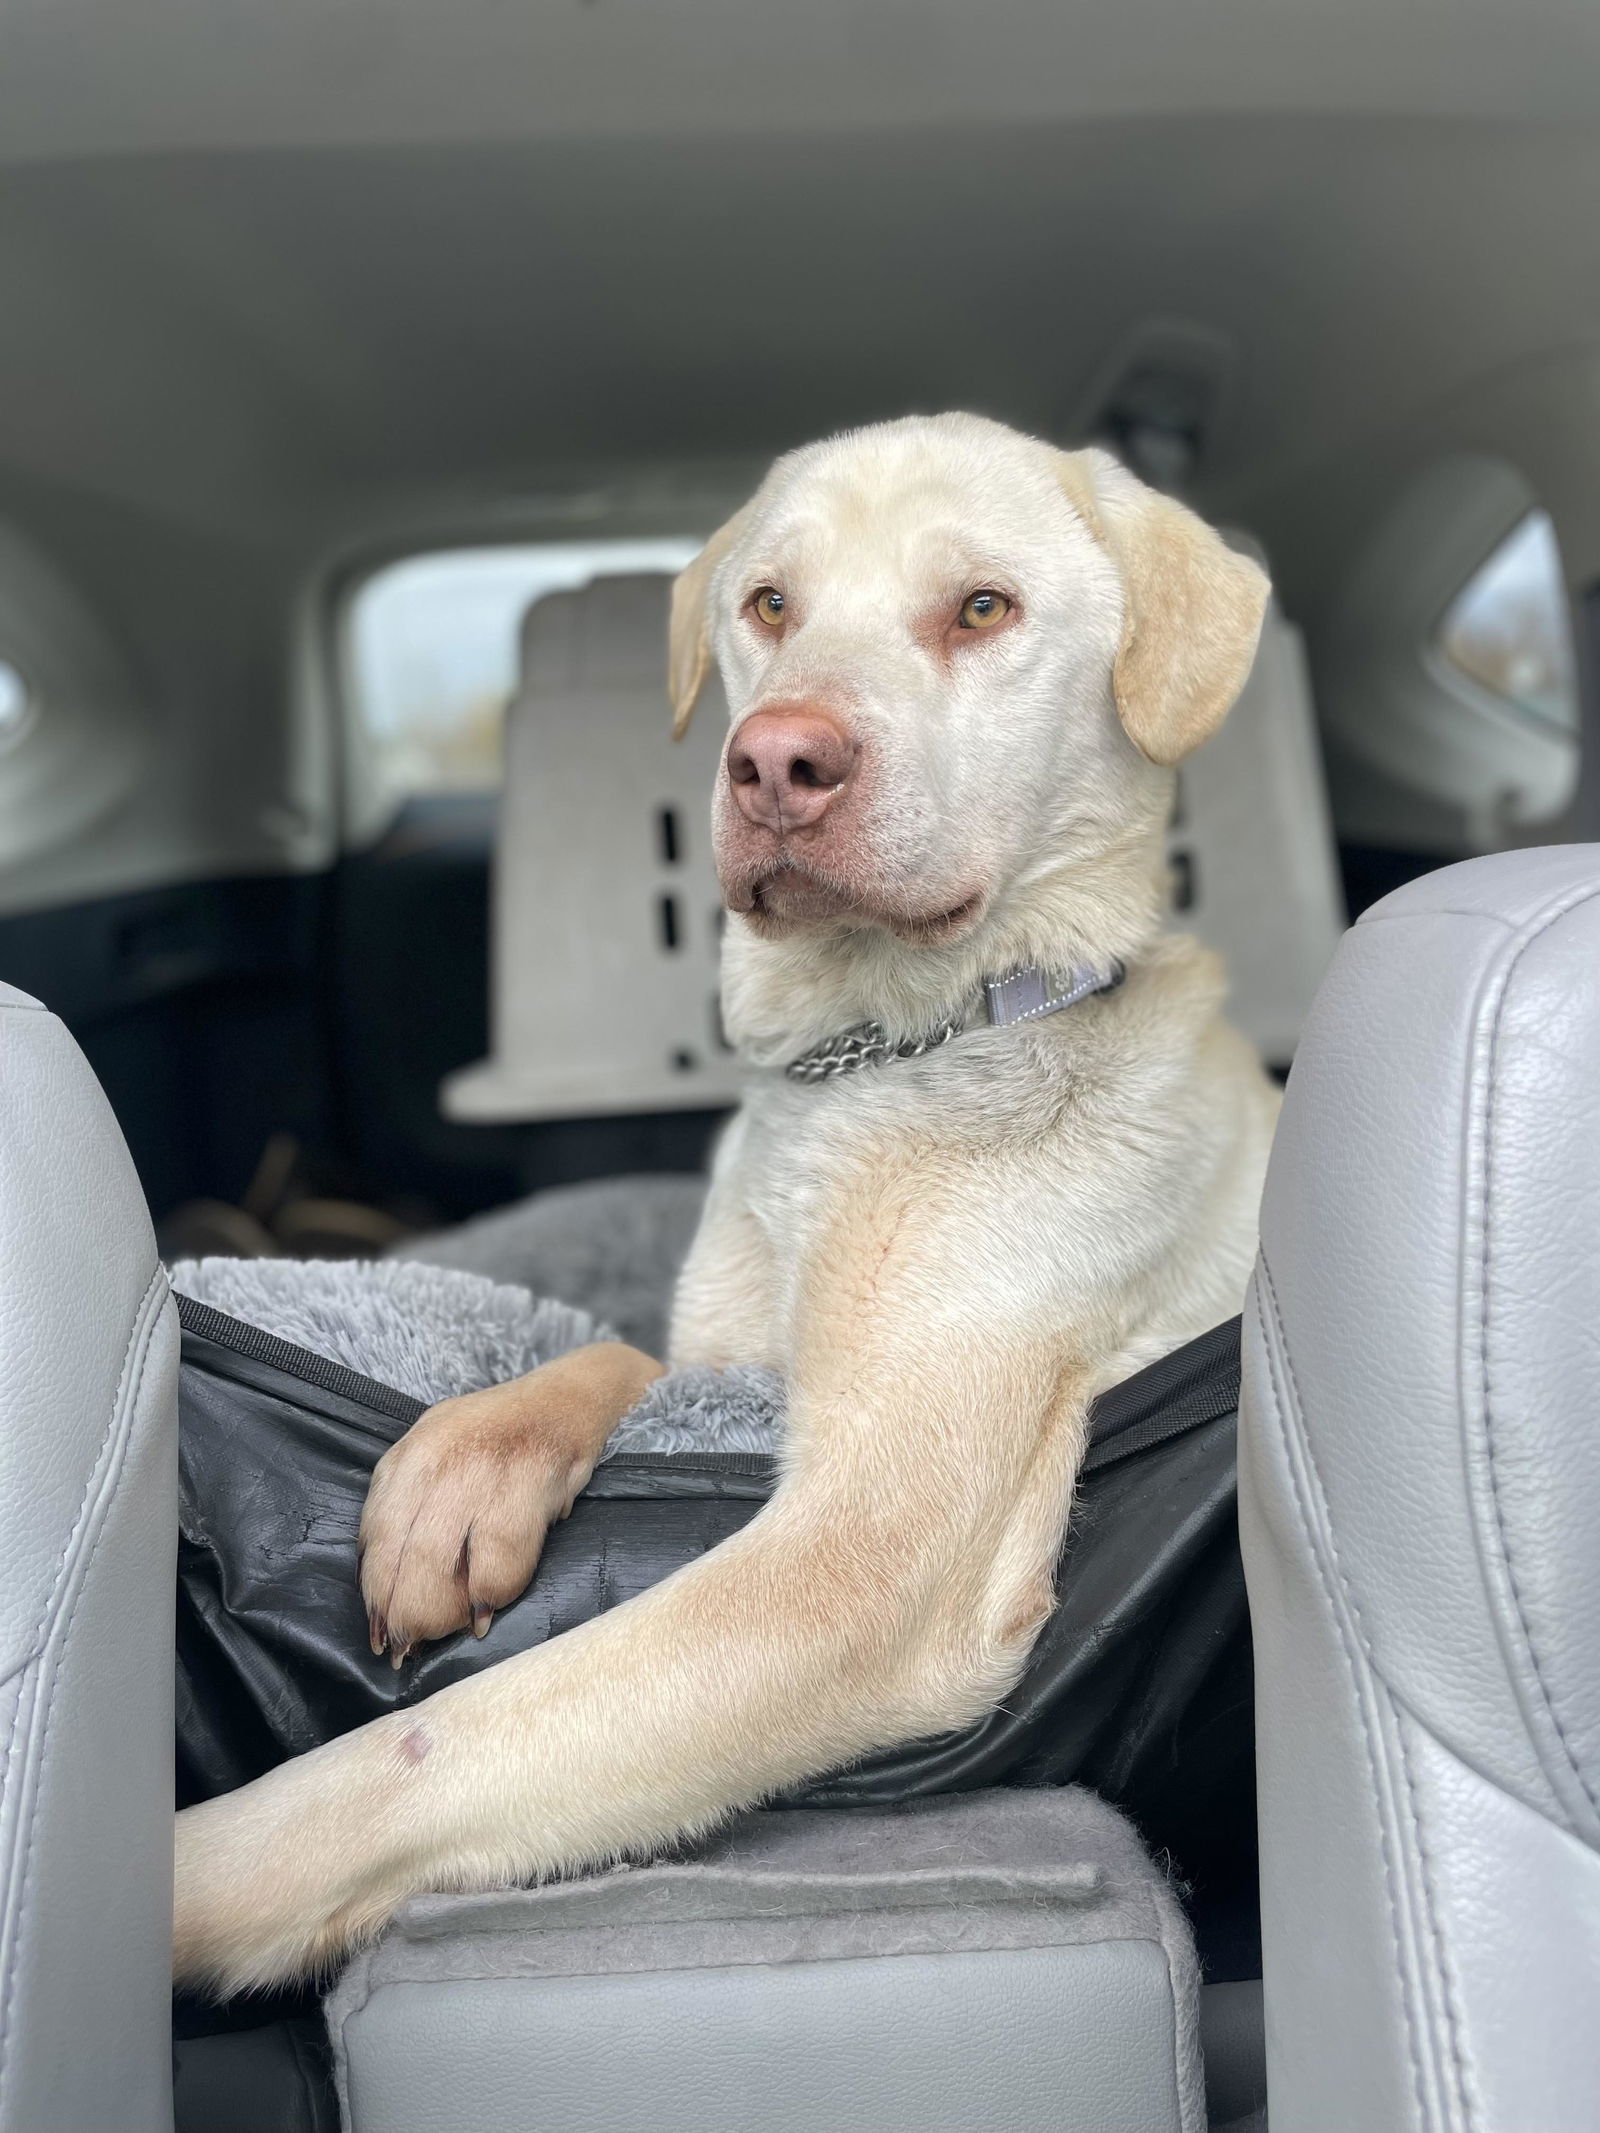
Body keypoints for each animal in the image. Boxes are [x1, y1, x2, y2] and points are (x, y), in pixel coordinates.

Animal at [172, 411, 1280, 1979]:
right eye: (769, 606)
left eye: (981, 608)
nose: (773, 763)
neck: (878, 1058)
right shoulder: (724, 1355)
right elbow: (615, 1359)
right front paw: (467, 1467)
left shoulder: (865, 1565)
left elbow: (430, 1746)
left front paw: (181, 1878)